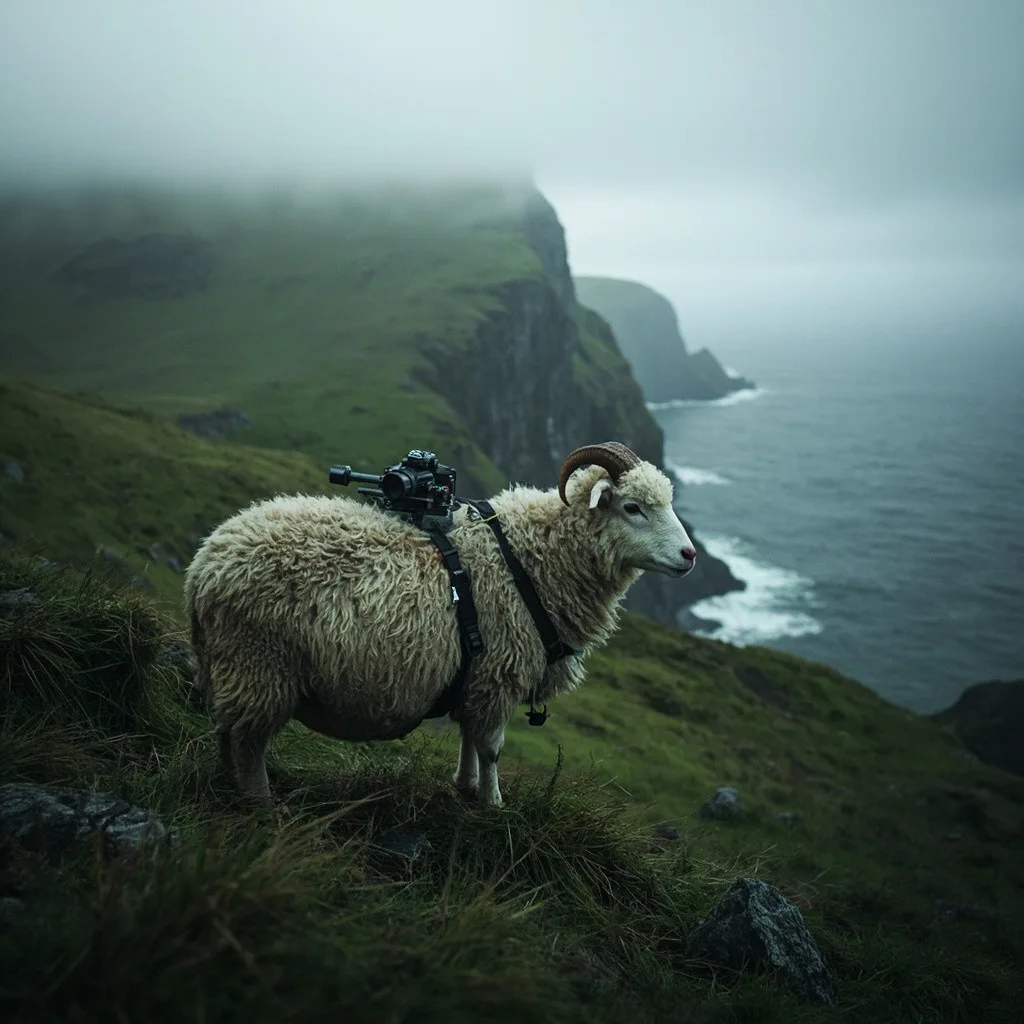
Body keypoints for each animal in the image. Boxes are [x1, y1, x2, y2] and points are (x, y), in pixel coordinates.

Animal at [184, 442, 698, 808]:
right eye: (632, 507)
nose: (690, 555)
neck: (533, 558)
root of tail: (204, 567)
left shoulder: (477, 677)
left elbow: (469, 737)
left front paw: (465, 786)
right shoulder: (497, 672)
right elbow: (492, 747)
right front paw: (493, 804)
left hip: (233, 669)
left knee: (227, 736)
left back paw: (229, 790)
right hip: (257, 664)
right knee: (247, 743)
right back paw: (260, 803)